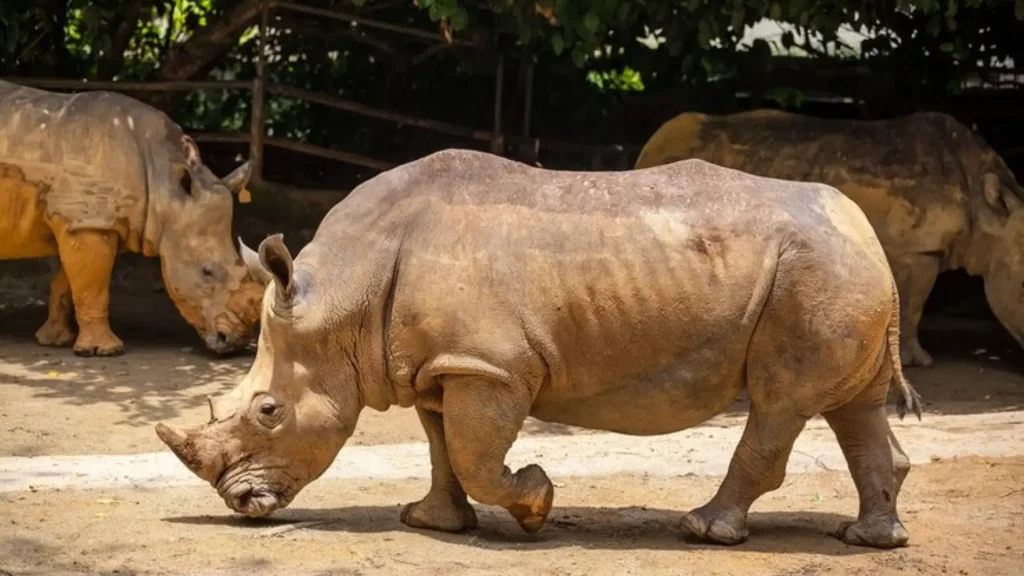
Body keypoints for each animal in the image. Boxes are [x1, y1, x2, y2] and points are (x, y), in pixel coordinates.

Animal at [0, 80, 264, 356]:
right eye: (207, 272)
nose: (235, 343)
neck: (162, 183)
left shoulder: (86, 221)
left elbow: (68, 282)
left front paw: (55, 340)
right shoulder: (89, 221)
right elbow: (93, 287)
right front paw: (103, 351)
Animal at [156, 149, 923, 549]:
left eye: (268, 411)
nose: (239, 504)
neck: (344, 297)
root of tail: (867, 232)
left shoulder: (490, 367)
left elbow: (475, 454)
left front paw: (536, 505)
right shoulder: (437, 364)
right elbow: (442, 448)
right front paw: (431, 521)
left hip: (814, 275)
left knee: (779, 403)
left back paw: (704, 530)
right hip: (836, 271)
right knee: (852, 407)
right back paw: (869, 540)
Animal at [634, 108, 1024, 367]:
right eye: (1021, 289)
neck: (986, 212)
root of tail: (648, 147)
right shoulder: (919, 249)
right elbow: (914, 304)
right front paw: (919, 361)